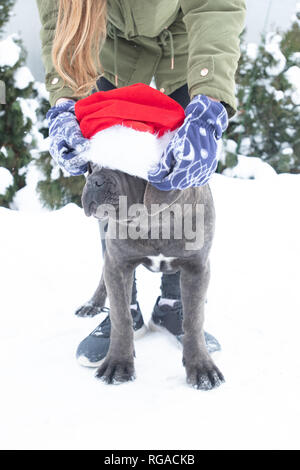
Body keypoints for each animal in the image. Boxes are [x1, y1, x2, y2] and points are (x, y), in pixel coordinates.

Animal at [81, 163, 224, 392]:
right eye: (90, 167)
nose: (94, 181)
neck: (155, 221)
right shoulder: (118, 264)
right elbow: (121, 317)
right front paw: (118, 364)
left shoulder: (196, 267)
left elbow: (193, 321)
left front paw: (202, 368)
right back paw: (92, 304)